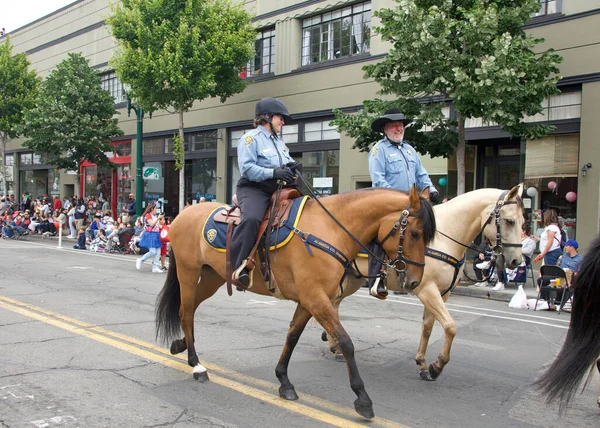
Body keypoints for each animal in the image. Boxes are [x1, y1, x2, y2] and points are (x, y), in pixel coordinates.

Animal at [155, 186, 436, 418]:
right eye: (415, 233)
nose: (414, 281)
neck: (331, 230)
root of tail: (183, 213)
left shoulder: (309, 299)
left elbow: (292, 336)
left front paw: (284, 381)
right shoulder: (316, 298)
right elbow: (345, 342)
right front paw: (363, 398)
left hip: (211, 277)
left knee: (187, 310)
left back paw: (181, 346)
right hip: (188, 272)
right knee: (187, 311)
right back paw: (196, 365)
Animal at [324, 186, 524, 380]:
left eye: (523, 222)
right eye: (509, 221)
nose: (516, 260)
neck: (445, 239)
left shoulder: (443, 293)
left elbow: (428, 326)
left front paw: (423, 363)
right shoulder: (427, 289)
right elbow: (450, 326)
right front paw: (438, 365)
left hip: (352, 278)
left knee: (334, 304)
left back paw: (335, 346)